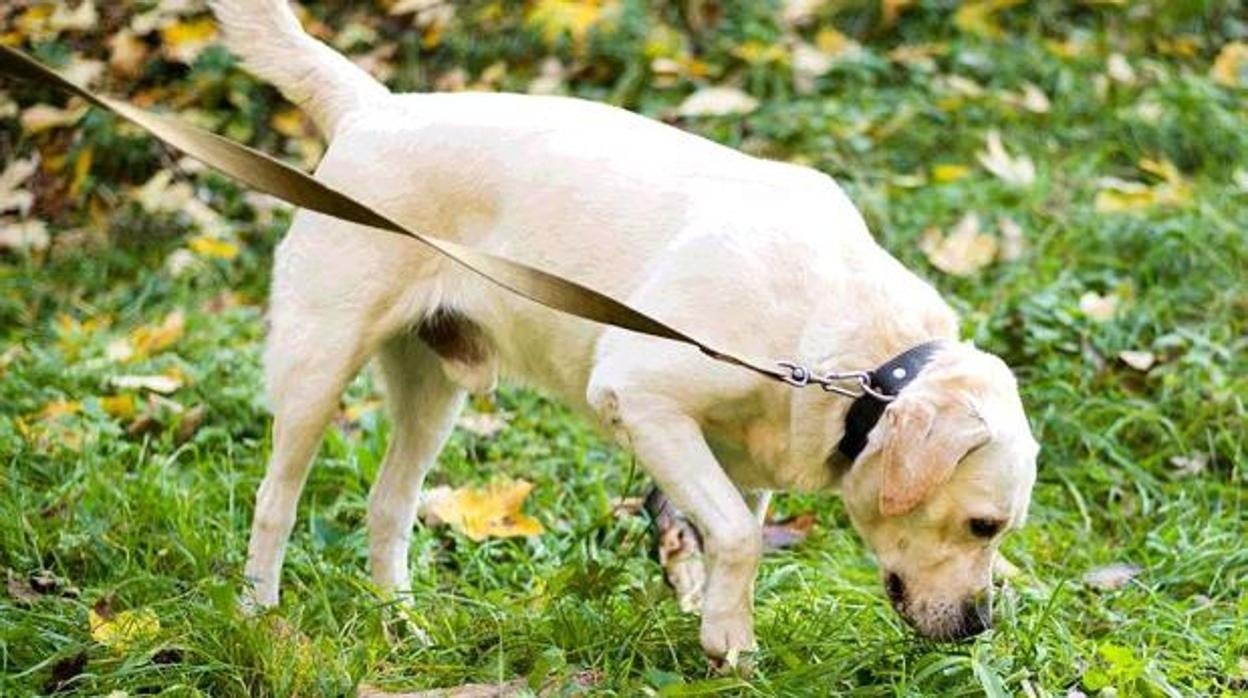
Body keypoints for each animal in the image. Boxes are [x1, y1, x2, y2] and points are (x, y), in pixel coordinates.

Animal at [209, 0, 1038, 659]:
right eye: (982, 525)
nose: (979, 627)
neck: (858, 364)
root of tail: (372, 108)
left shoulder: (740, 462)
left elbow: (731, 536)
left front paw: (720, 633)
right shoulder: (642, 397)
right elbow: (739, 537)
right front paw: (732, 642)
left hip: (433, 393)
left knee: (389, 508)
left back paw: (401, 626)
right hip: (318, 368)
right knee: (275, 502)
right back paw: (259, 619)